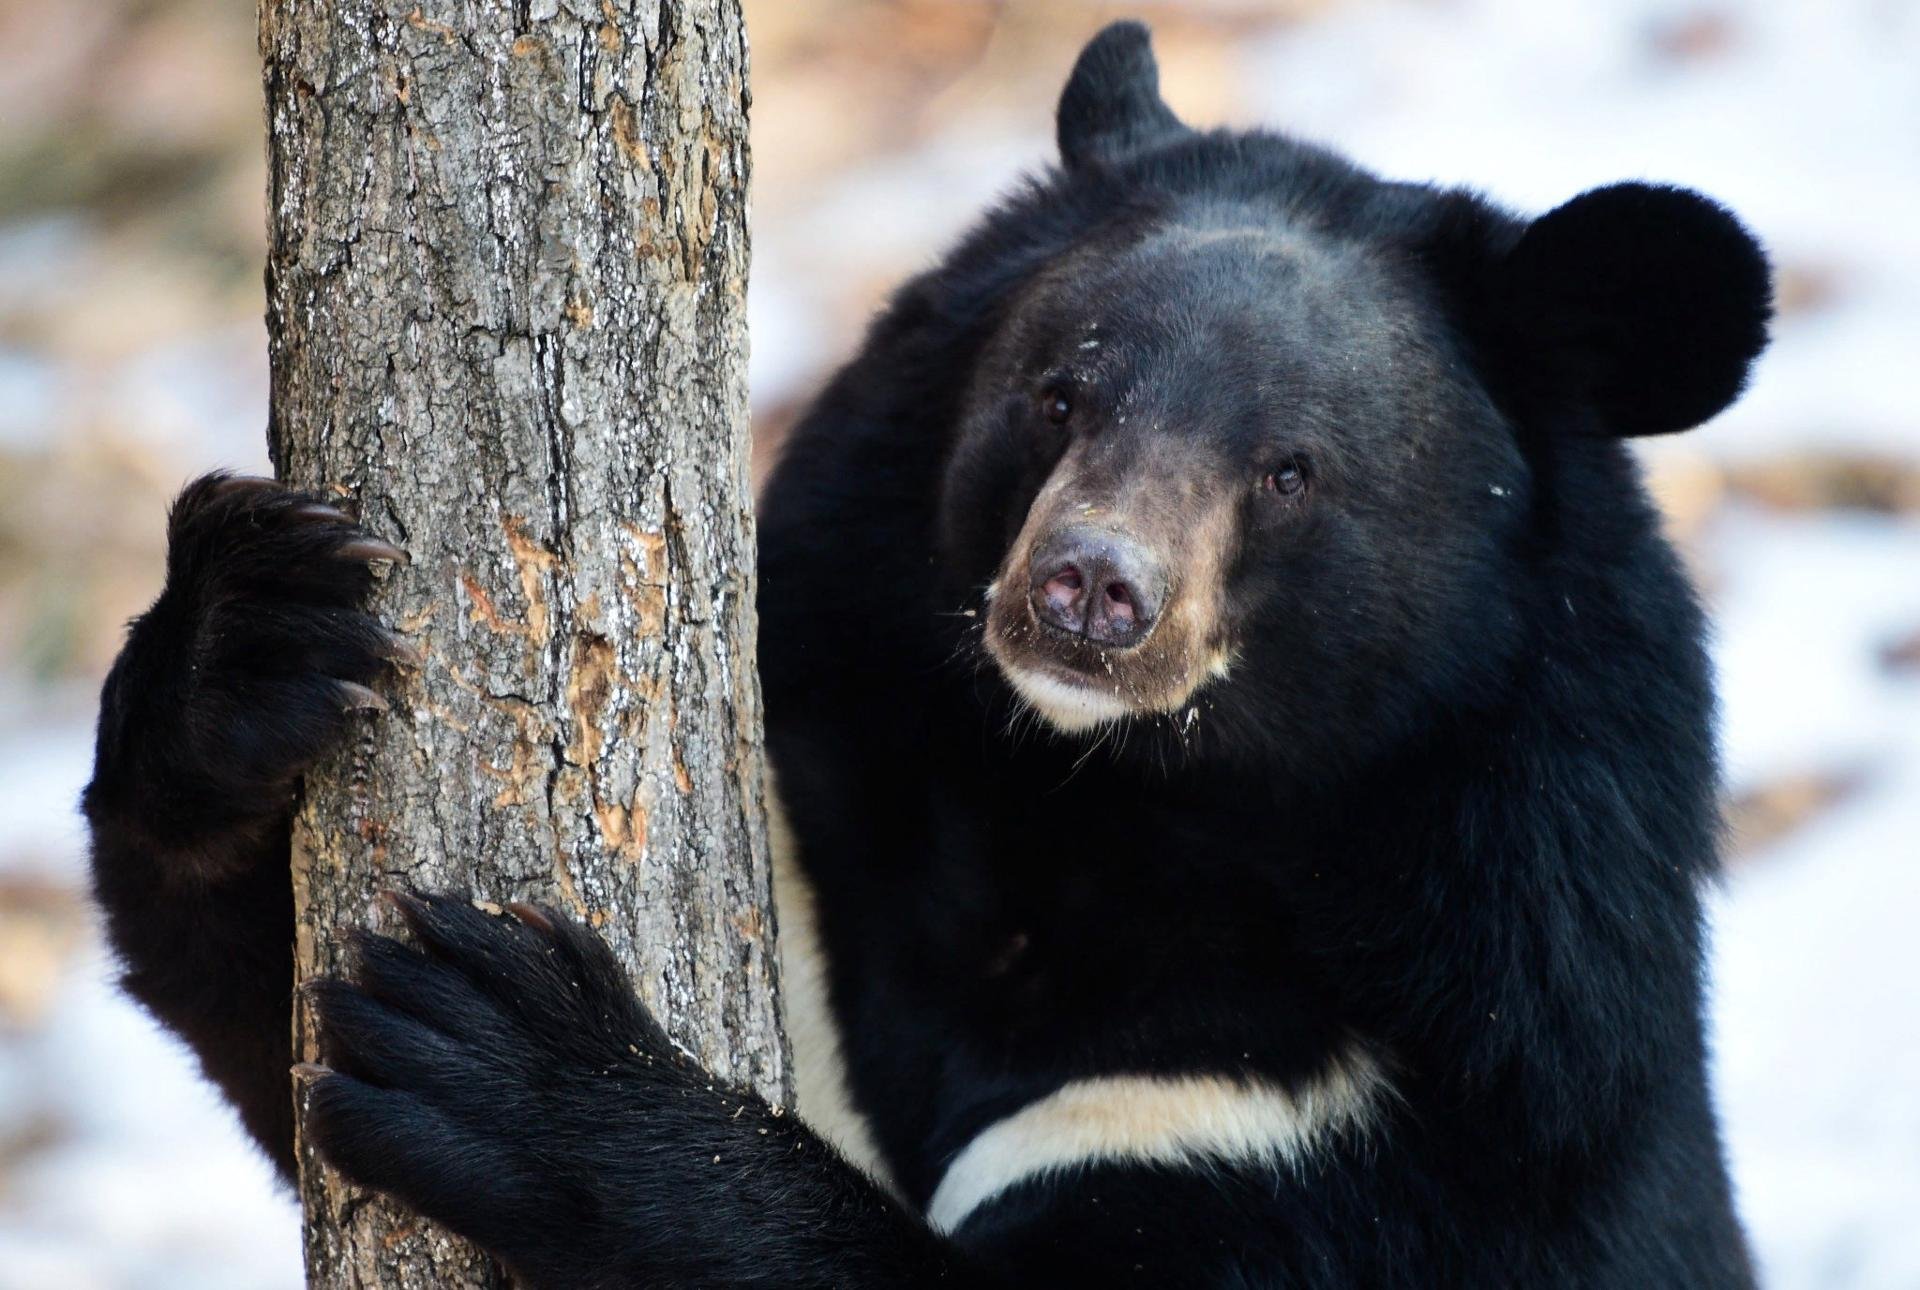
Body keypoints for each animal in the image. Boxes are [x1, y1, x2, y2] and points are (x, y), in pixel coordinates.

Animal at [86, 22, 1766, 1290]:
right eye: (1059, 392)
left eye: (1292, 470)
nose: (1087, 590)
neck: (1093, 807)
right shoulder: (819, 830)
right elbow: (259, 1017)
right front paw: (261, 632)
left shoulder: (1388, 1112)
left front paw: (499, 1055)